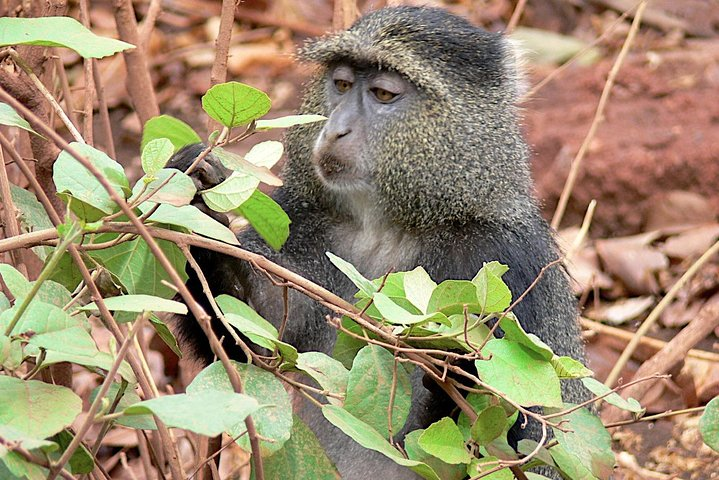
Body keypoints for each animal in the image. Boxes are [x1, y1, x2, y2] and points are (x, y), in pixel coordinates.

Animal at [169, 6, 590, 479]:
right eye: (341, 84)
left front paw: (457, 375)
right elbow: (252, 342)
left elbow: (529, 442)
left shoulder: (504, 262)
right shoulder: (302, 222)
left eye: (384, 94)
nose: (335, 130)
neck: (387, 226)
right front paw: (201, 208)